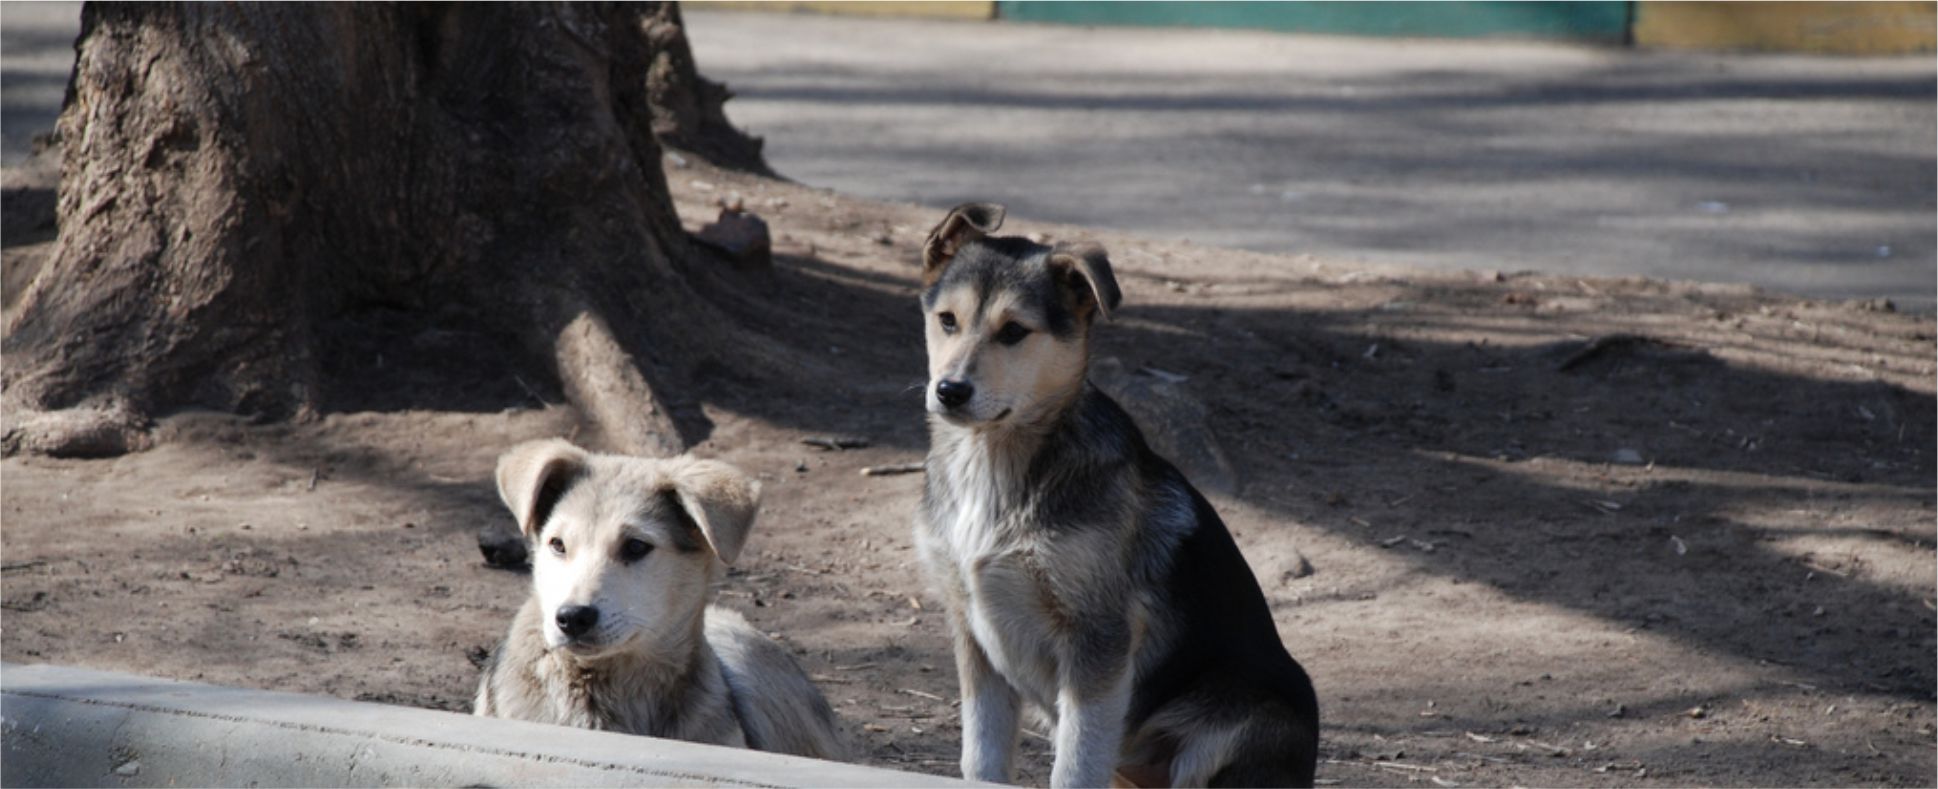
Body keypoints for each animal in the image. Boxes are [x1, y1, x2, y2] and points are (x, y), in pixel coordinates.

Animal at [914, 205, 1325, 789]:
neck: (994, 461)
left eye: (1014, 332)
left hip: (1233, 724)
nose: (950, 391)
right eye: (947, 320)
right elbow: (982, 759)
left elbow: (1075, 765)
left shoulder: (1097, 642)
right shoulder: (973, 637)